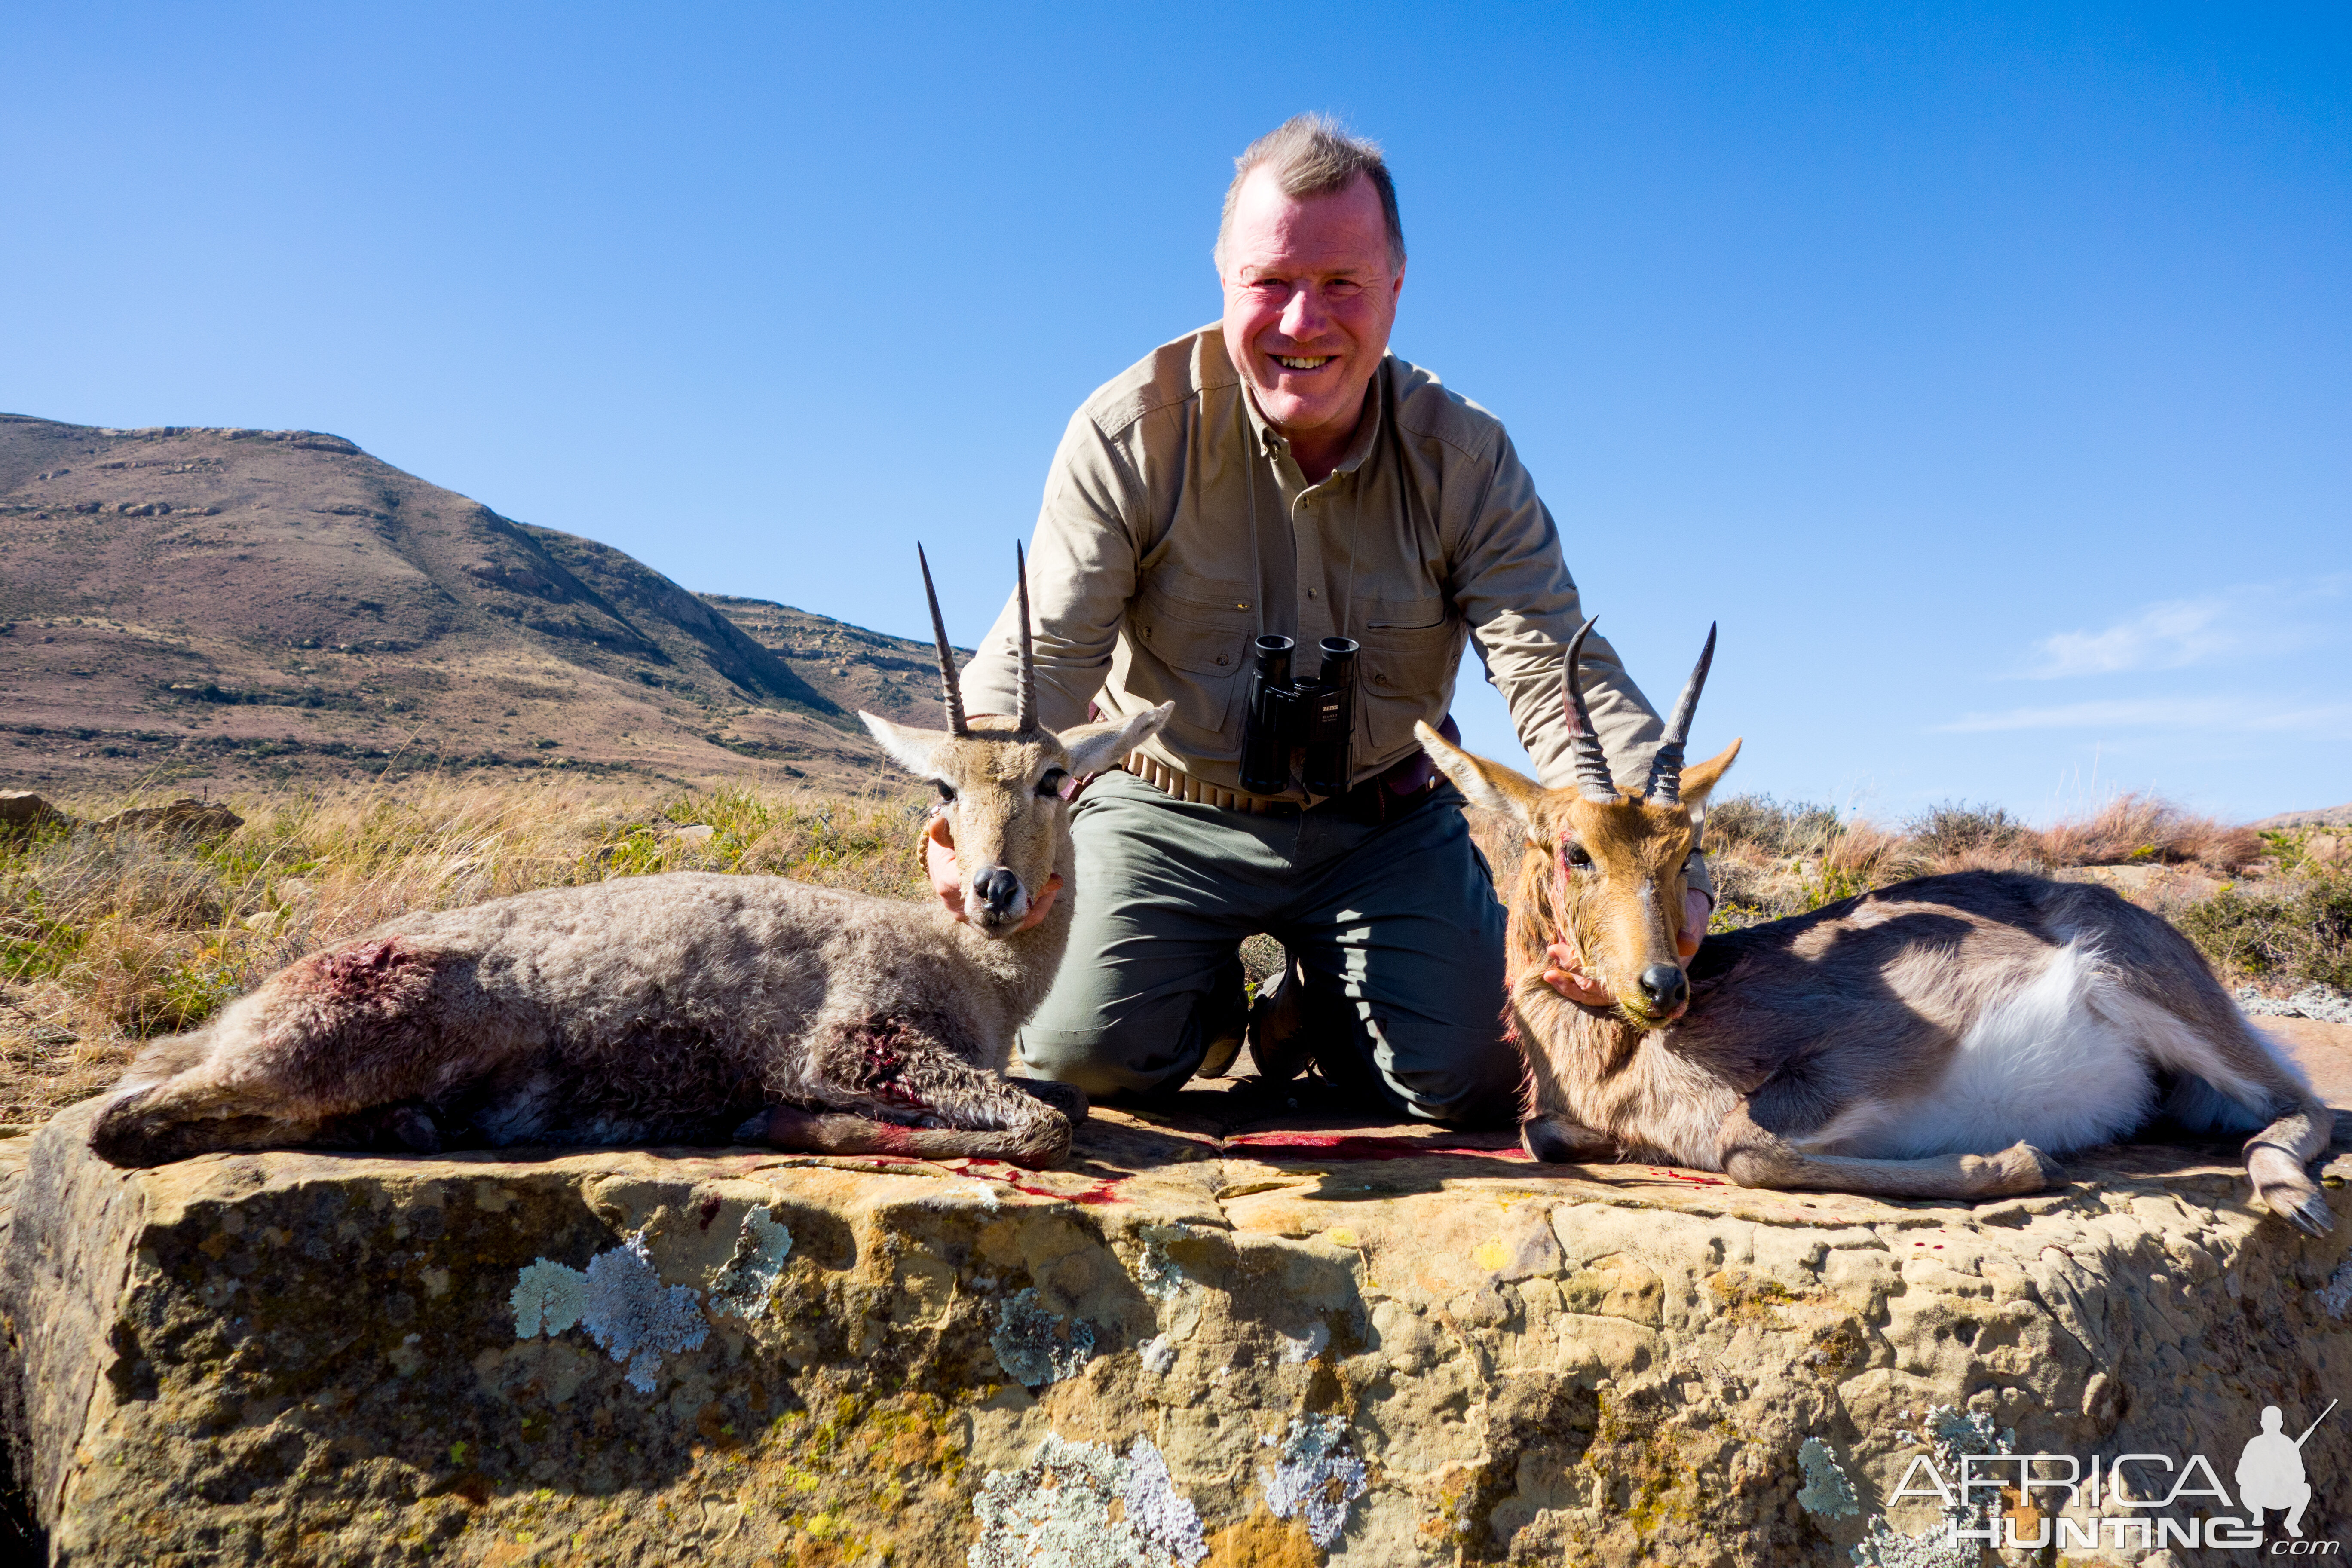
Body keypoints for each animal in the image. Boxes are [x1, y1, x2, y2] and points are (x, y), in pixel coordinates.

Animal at [96, 545, 1171, 1170]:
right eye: (944, 789)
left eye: (1054, 779)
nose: (995, 890)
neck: (982, 976)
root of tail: (241, 1011)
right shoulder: (858, 1041)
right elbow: (1041, 1126)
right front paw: (779, 1121)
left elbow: (1067, 1097)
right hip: (343, 1040)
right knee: (126, 1123)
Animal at [1411, 625, 2333, 1241]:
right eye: (1577, 850)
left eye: (1684, 852)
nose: (1662, 986)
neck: (1622, 1058)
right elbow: (1542, 1133)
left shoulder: (1870, 1048)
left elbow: (1742, 1146)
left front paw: (2018, 1161)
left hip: (2153, 996)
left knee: (2307, 1103)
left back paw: (2289, 1192)